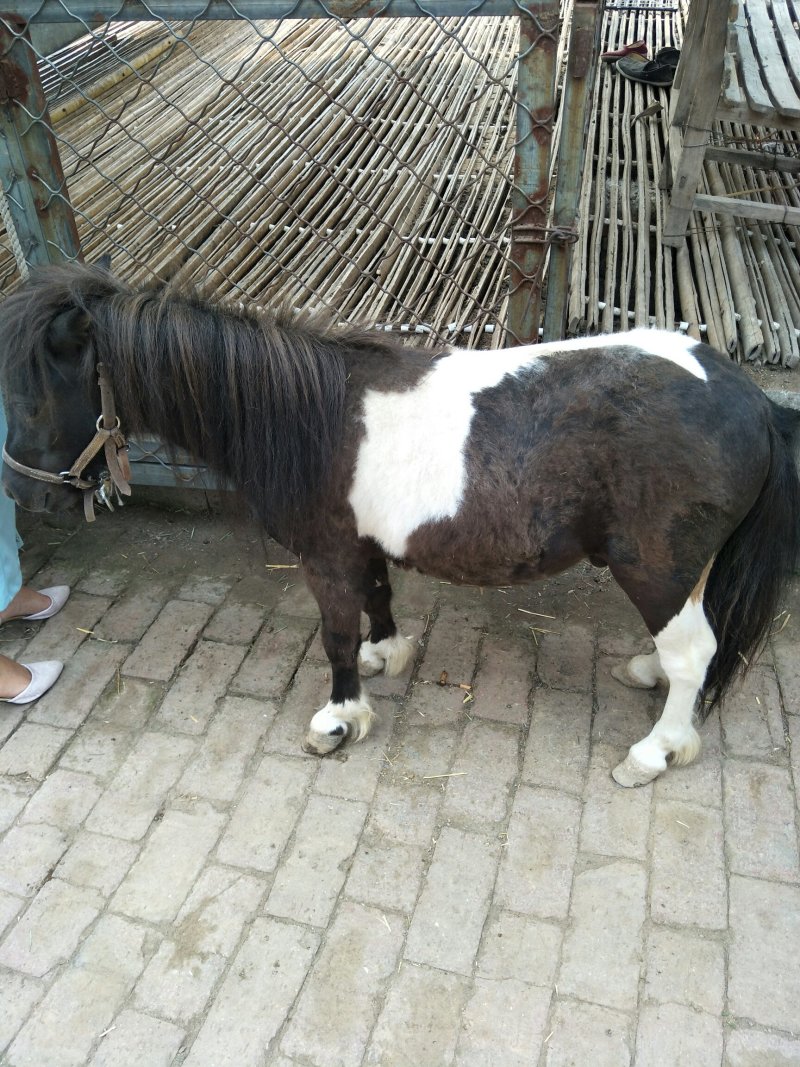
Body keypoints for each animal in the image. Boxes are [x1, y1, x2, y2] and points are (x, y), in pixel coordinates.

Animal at [1, 262, 798, 787]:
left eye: (34, 398)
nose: (26, 497)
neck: (311, 417)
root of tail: (756, 404)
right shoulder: (362, 542)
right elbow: (378, 597)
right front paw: (387, 654)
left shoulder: (323, 554)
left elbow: (335, 635)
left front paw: (339, 718)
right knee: (690, 646)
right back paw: (646, 671)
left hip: (654, 566)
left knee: (694, 653)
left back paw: (655, 751)